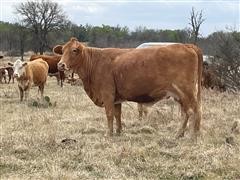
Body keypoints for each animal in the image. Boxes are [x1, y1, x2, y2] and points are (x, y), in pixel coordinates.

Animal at [54, 38, 202, 140]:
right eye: (62, 51)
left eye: (74, 50)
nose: (61, 65)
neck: (95, 63)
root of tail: (186, 45)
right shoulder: (116, 98)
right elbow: (117, 114)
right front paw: (118, 132)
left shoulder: (107, 94)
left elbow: (109, 114)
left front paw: (108, 134)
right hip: (180, 95)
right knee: (185, 113)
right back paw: (179, 134)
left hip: (186, 91)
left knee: (193, 111)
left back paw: (192, 136)